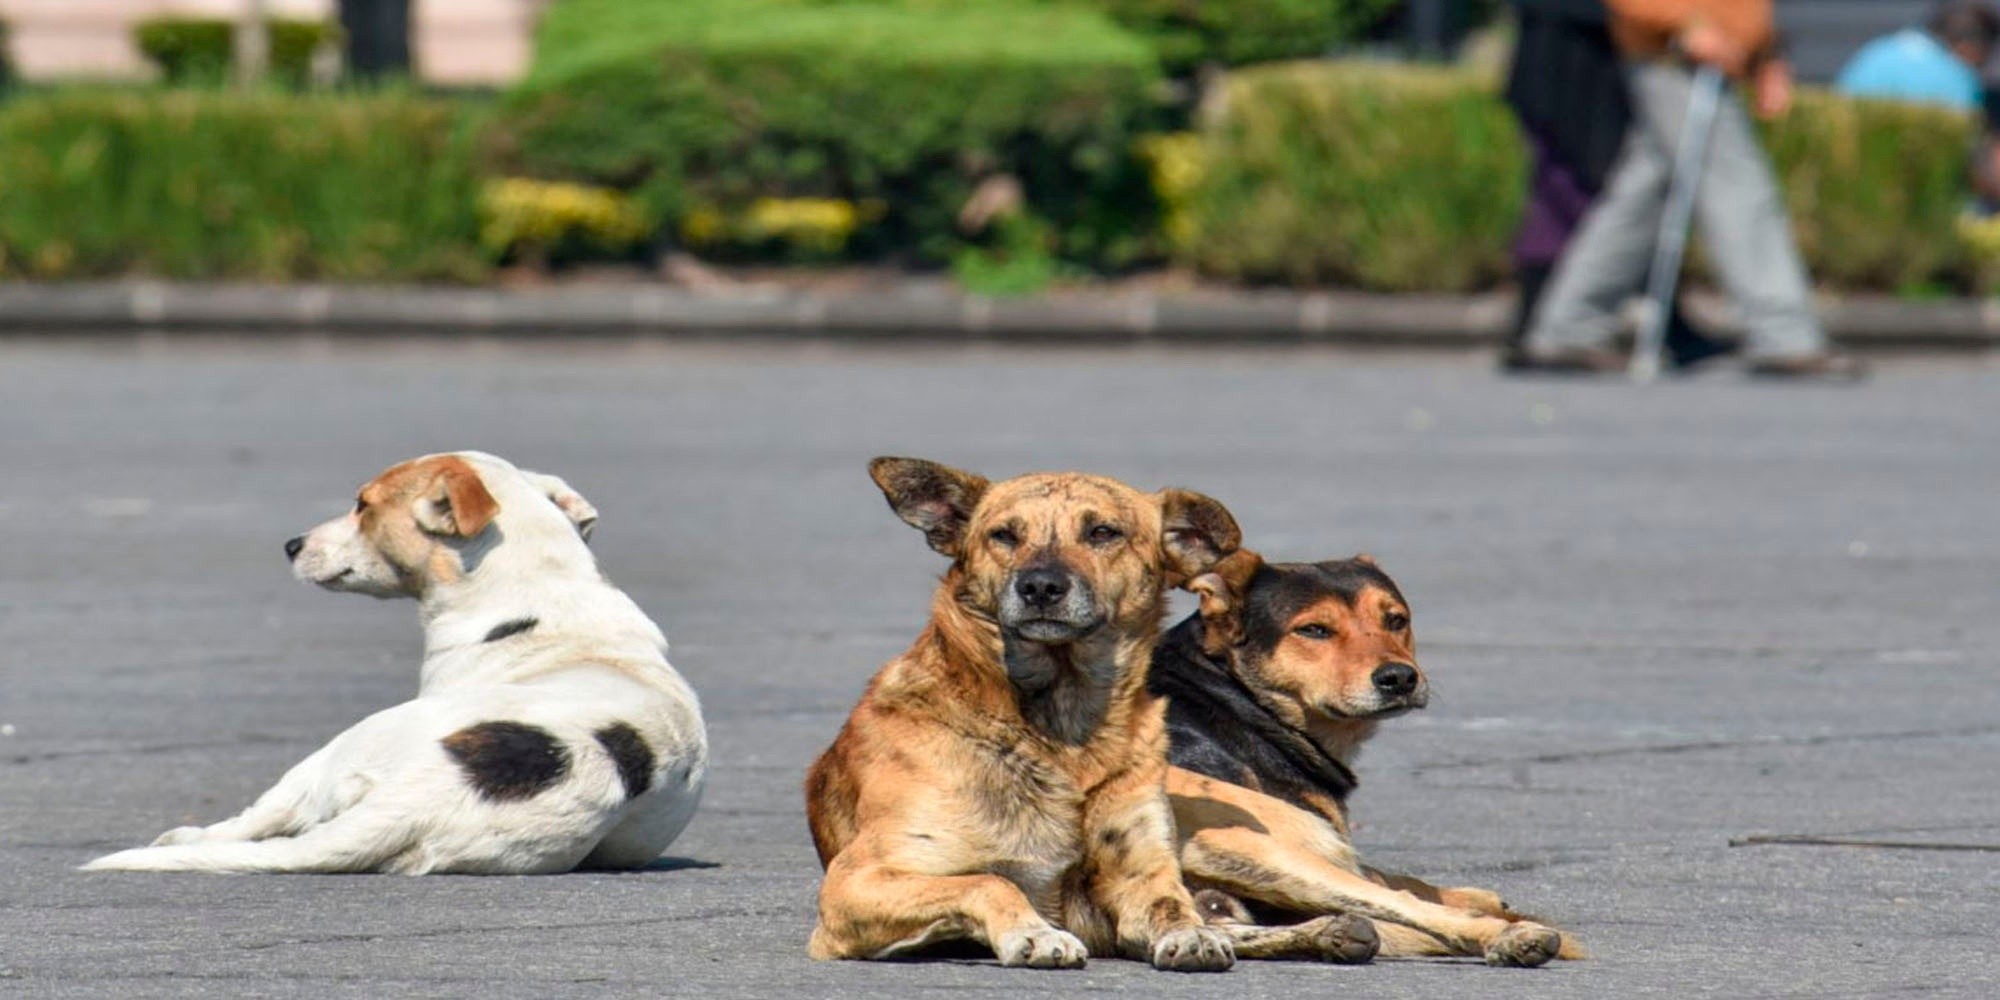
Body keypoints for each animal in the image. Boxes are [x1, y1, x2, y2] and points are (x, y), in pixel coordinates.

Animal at [86, 454, 712, 876]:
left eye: (363, 504)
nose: (291, 544)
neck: (543, 588)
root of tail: (424, 796)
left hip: (337, 750)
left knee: (256, 819)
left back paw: (185, 837)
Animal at [800, 458, 1248, 968]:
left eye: (1102, 532)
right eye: (1004, 535)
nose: (1040, 587)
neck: (1062, 730)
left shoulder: (1139, 870)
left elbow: (1171, 902)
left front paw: (1193, 932)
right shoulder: (856, 880)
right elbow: (989, 880)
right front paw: (1034, 932)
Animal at [1160, 552, 1576, 964]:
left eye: (1396, 621)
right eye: (1314, 630)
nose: (1400, 678)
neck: (1230, 693)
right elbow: (1400, 883)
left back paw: (1333, 934)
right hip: (1253, 849)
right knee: (1399, 902)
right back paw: (1510, 936)